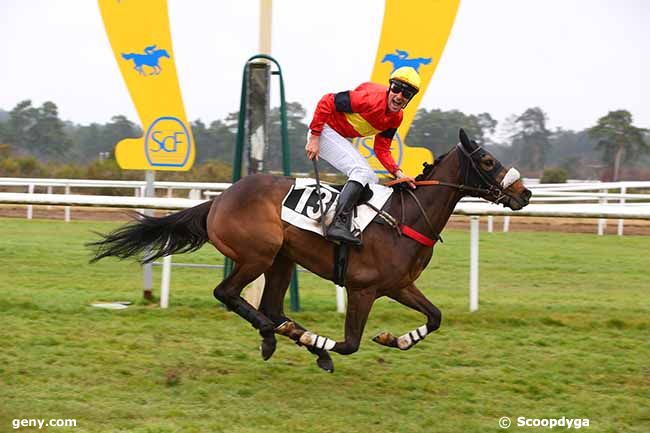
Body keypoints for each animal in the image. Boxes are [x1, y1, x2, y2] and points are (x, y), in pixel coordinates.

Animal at [88, 129, 528, 372]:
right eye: (487, 161)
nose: (524, 193)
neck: (406, 218)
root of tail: (218, 200)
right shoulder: (364, 289)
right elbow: (350, 344)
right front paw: (320, 343)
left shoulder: (399, 285)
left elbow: (435, 318)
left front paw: (394, 340)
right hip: (258, 255)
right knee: (230, 294)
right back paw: (278, 335)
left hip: (282, 260)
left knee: (270, 306)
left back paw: (286, 337)